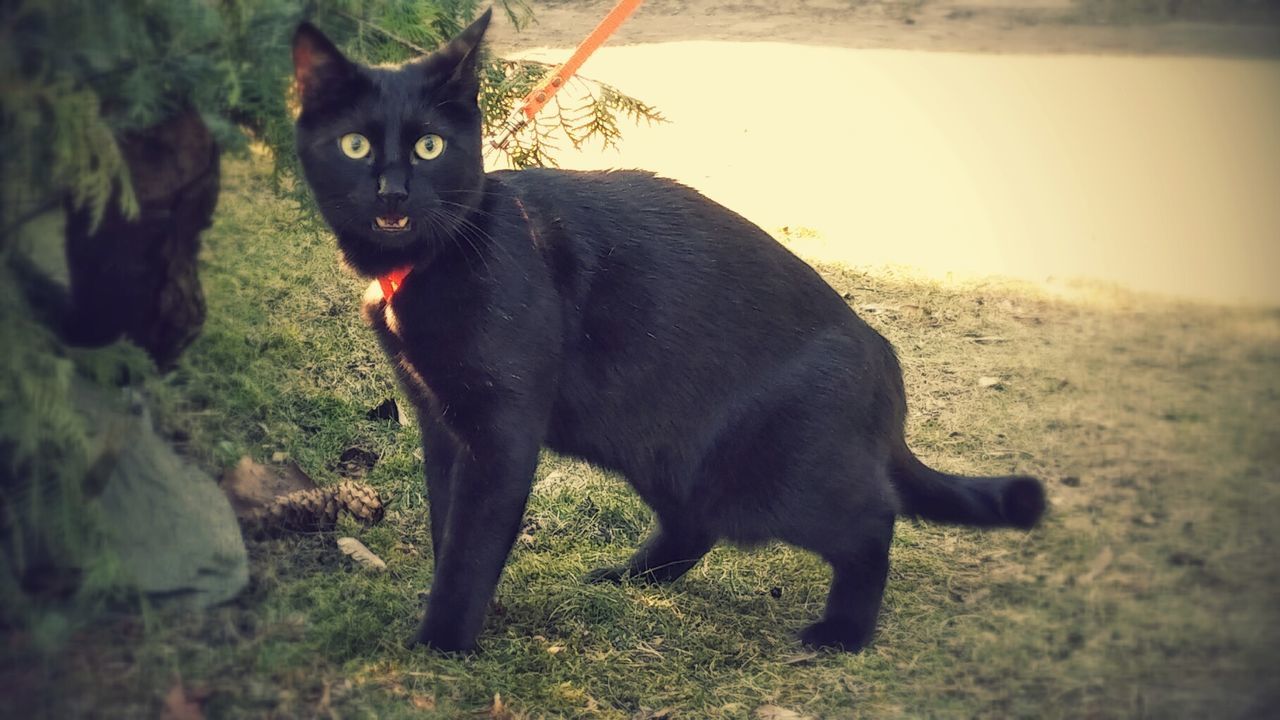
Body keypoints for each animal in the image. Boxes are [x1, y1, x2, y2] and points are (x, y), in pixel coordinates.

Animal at [294, 9, 1044, 650]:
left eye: (429, 146)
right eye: (355, 145)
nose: (393, 192)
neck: (432, 261)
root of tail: (883, 358)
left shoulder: (500, 433)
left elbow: (472, 540)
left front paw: (443, 644)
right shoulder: (440, 420)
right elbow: (448, 523)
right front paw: (474, 615)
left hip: (769, 479)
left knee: (871, 521)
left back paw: (842, 633)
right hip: (662, 446)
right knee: (694, 525)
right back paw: (629, 578)